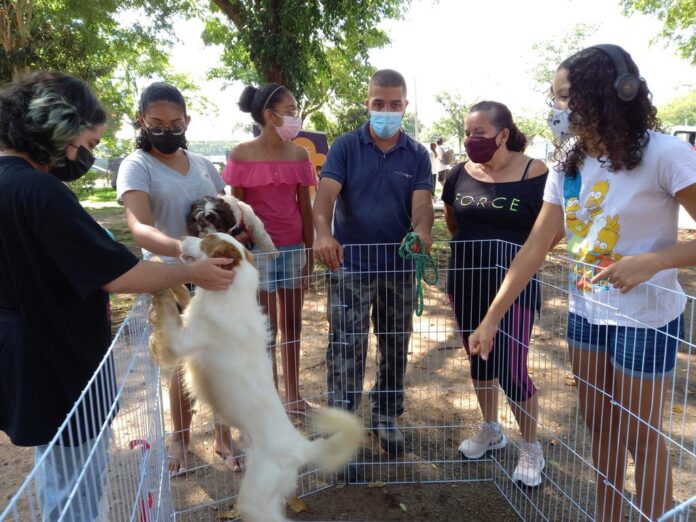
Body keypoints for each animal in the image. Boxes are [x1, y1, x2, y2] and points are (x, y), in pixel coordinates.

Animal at [150, 232, 362, 520]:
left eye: (205, 238)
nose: (181, 237)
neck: (231, 294)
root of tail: (299, 446)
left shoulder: (179, 343)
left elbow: (169, 309)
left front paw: (156, 276)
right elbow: (183, 294)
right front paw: (165, 271)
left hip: (254, 500)